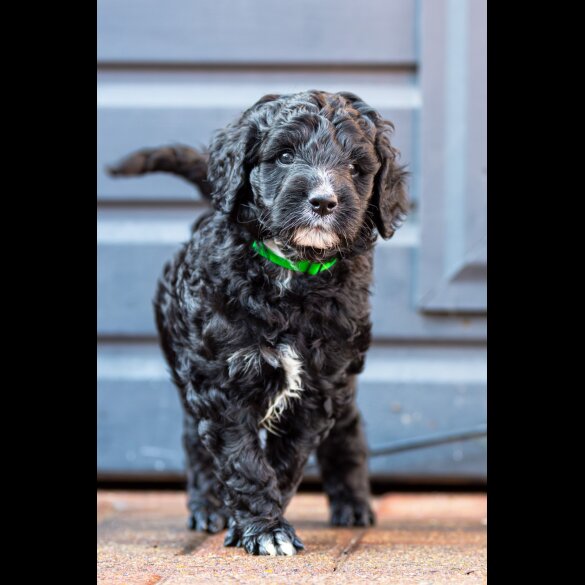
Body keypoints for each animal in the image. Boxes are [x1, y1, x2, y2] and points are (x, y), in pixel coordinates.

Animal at [110, 89, 406, 556]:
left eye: (356, 168)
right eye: (284, 156)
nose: (324, 201)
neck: (291, 271)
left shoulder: (320, 385)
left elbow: (286, 461)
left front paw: (265, 523)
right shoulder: (219, 379)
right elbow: (242, 457)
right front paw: (264, 529)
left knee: (348, 428)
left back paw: (354, 505)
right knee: (194, 441)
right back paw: (206, 508)